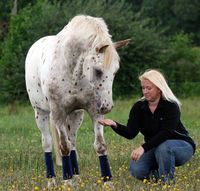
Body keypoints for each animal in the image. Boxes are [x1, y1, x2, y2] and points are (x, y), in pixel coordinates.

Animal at [25, 14, 130, 188]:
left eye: (115, 71)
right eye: (98, 71)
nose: (107, 107)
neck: (71, 67)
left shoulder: (94, 112)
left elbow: (100, 145)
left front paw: (107, 183)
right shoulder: (58, 113)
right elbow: (64, 147)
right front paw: (67, 182)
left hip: (76, 115)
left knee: (72, 140)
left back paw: (77, 178)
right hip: (41, 113)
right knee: (47, 143)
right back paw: (52, 181)